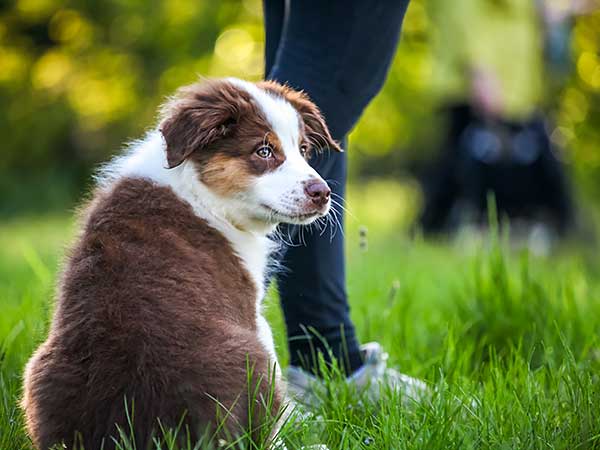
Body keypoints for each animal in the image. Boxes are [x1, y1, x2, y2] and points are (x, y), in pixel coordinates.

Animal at [21, 78, 340, 450]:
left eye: (303, 149)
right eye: (264, 151)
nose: (323, 193)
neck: (203, 193)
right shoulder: (253, 317)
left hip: (38, 369)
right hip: (254, 355)